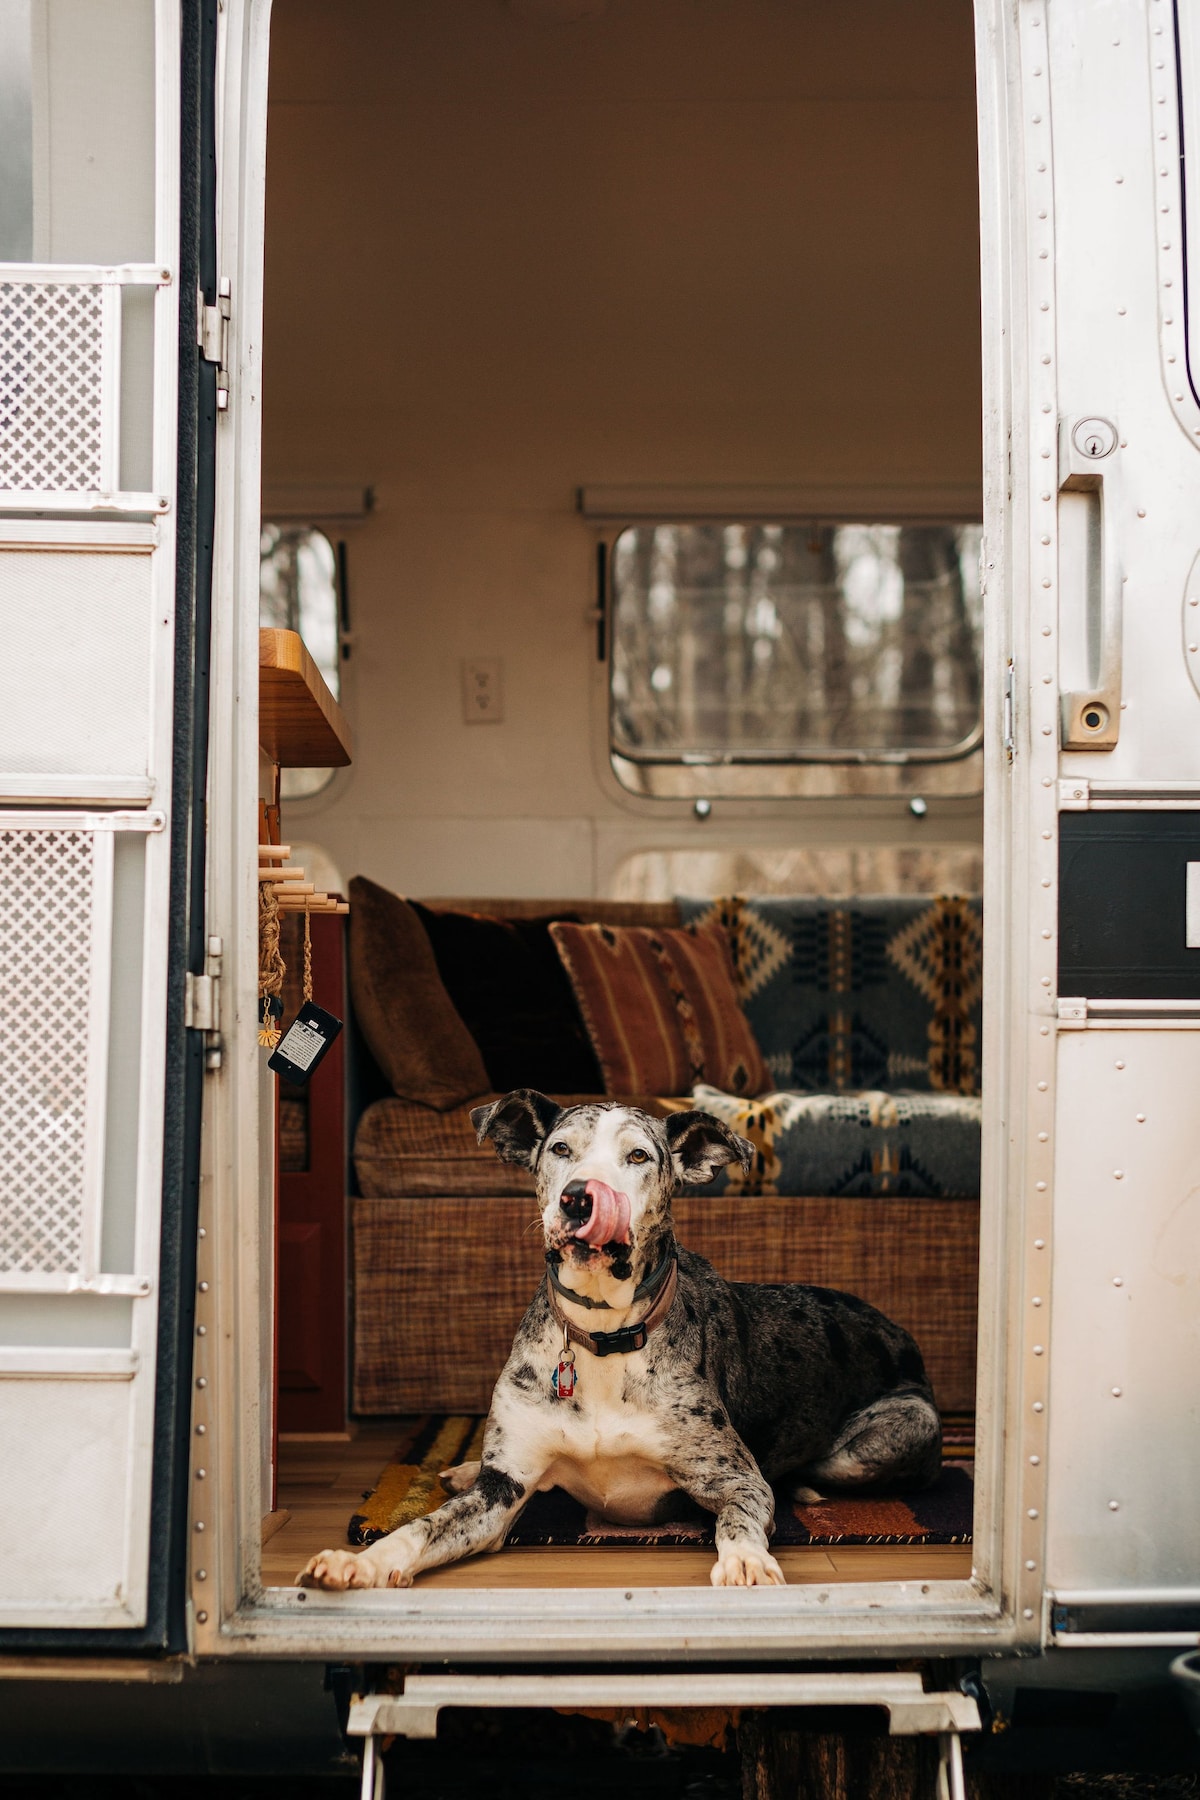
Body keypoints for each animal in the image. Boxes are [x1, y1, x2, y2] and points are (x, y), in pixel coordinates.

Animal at [298, 1080, 935, 1591]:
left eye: (638, 1156)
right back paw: (458, 1470)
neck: (604, 1335)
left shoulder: (736, 1478)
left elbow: (738, 1517)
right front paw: (362, 1561)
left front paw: (748, 1562)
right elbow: (423, 1527)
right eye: (560, 1149)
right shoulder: (498, 1496)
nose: (579, 1197)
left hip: (891, 1434)